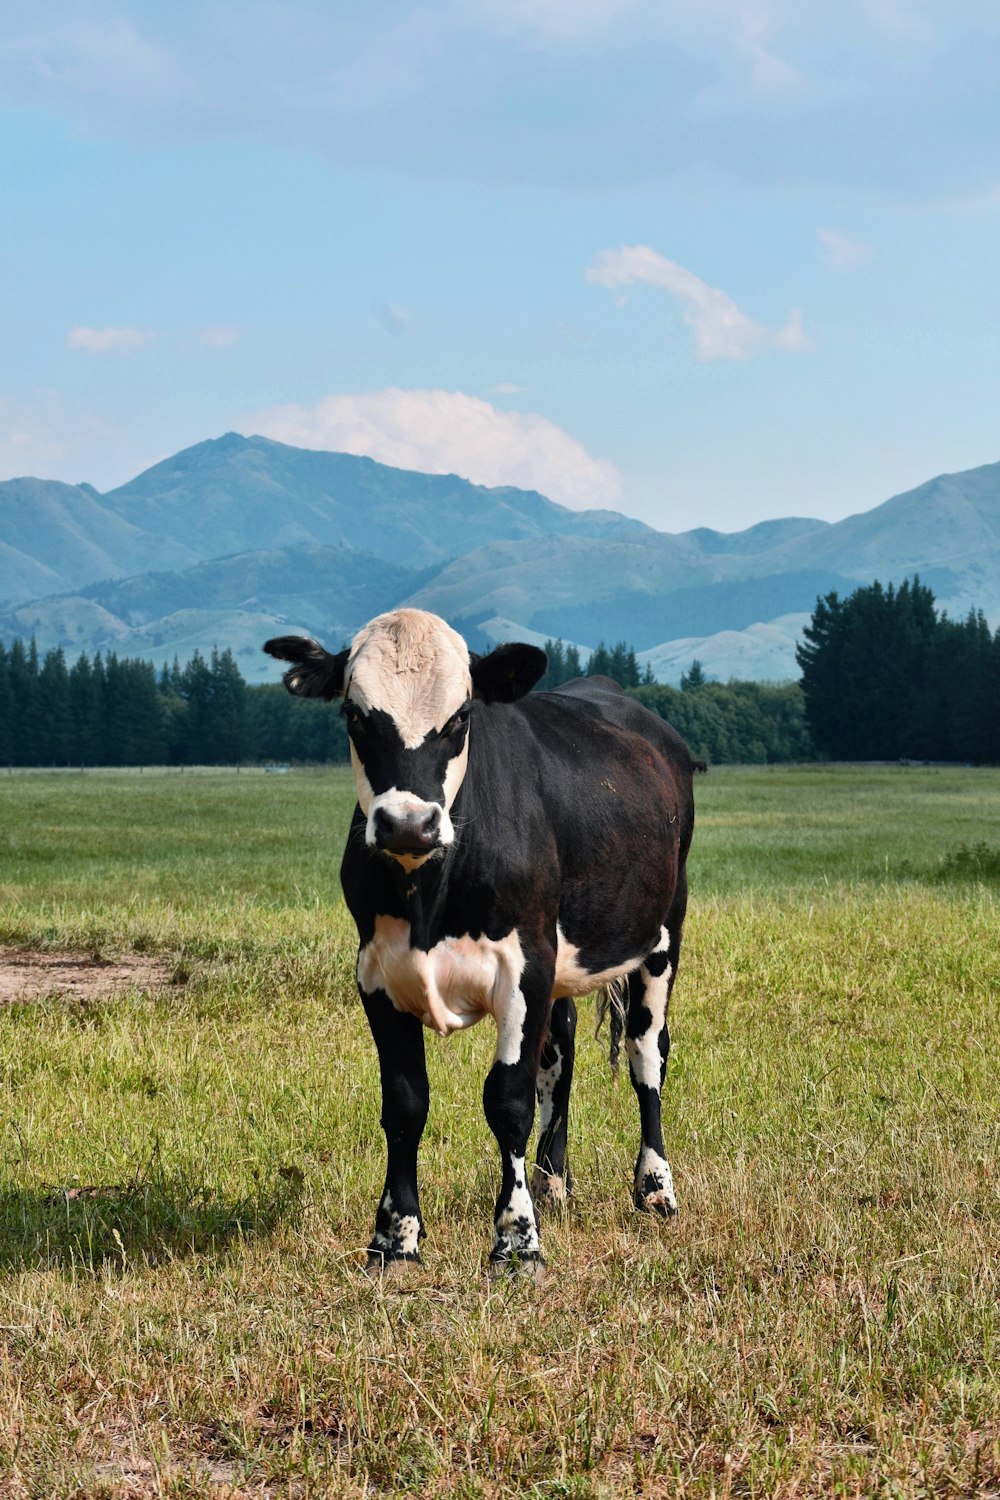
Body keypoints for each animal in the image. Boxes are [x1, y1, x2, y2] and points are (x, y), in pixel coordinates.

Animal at [265, 609, 695, 1278]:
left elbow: (508, 1103)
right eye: (355, 715)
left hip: (661, 936)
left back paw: (654, 1188)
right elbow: (405, 1104)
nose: (408, 824)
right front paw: (395, 1238)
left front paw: (517, 1240)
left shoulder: (524, 967)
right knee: (560, 1057)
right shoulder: (377, 975)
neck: (428, 895)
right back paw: (552, 1181)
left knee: (647, 1054)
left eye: (462, 715)